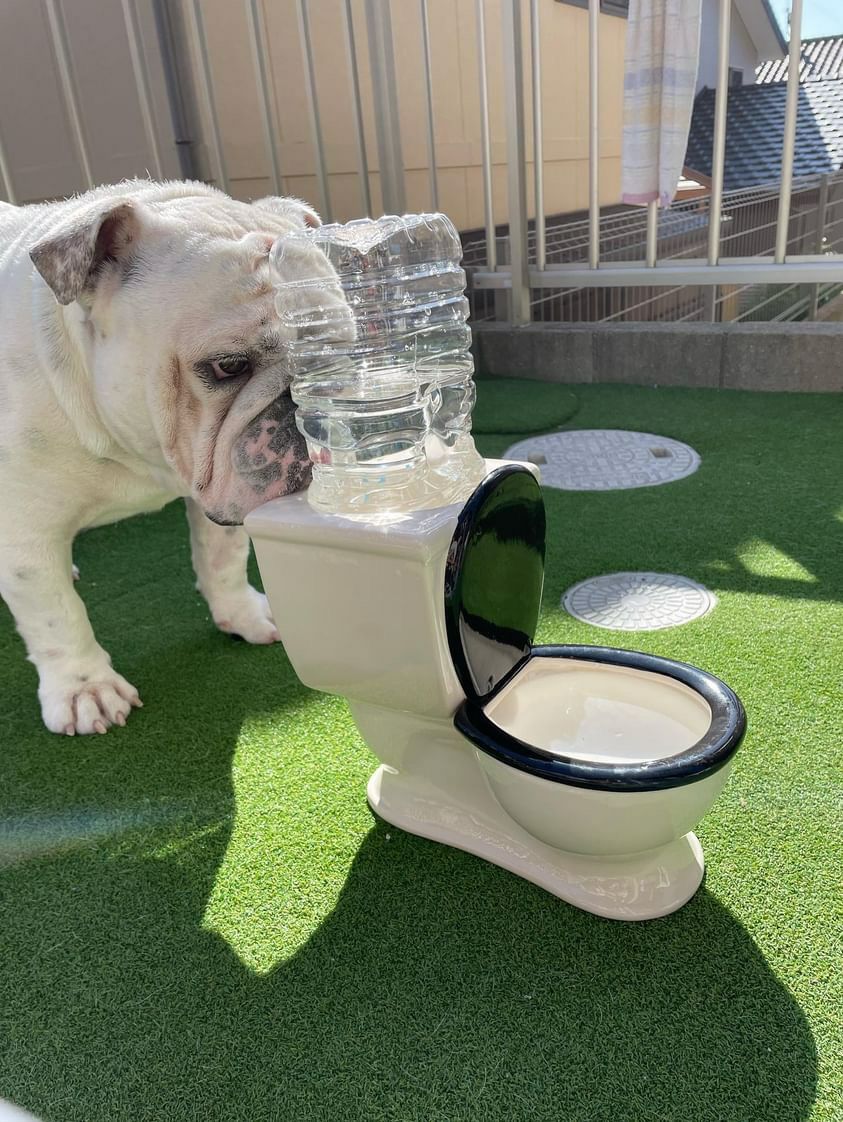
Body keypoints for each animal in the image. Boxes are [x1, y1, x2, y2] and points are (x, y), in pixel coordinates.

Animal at [0, 179, 350, 736]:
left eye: (344, 347)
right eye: (227, 365)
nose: (313, 405)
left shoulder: (222, 486)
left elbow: (224, 557)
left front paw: (242, 614)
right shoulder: (23, 535)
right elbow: (55, 615)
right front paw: (85, 688)